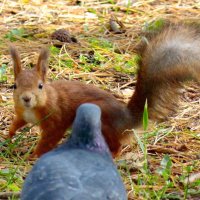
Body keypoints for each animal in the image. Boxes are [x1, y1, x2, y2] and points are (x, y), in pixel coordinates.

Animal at [9, 23, 200, 158]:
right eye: (14, 86)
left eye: (40, 86)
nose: (26, 98)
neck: (35, 107)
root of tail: (126, 119)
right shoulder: (21, 114)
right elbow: (16, 123)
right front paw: (7, 136)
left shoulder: (56, 118)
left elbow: (50, 138)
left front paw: (34, 155)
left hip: (101, 120)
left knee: (116, 146)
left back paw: (111, 155)